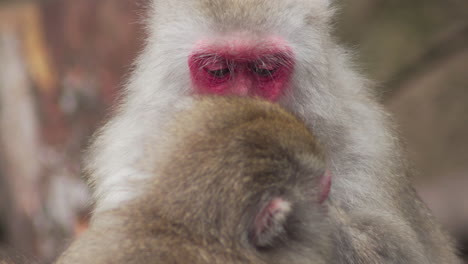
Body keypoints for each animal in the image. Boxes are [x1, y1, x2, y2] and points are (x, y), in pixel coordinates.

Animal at [84, 0, 460, 262]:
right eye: (218, 70)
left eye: (265, 69)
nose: (244, 105)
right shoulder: (128, 151)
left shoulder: (365, 142)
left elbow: (396, 249)